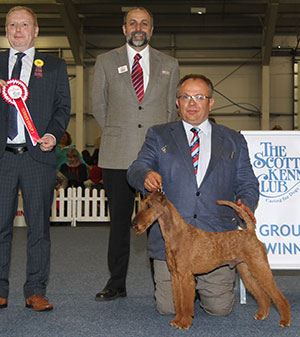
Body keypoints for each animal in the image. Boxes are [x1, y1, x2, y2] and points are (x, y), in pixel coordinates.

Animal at [131, 190, 290, 330]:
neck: (175, 235)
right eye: (141, 204)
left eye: (149, 206)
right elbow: (178, 302)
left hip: (259, 267)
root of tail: (250, 232)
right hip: (246, 271)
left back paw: (285, 321)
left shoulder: (185, 277)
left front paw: (185, 323)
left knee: (278, 296)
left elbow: (186, 303)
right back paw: (262, 314)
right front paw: (177, 320)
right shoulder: (175, 276)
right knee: (263, 296)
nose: (134, 224)